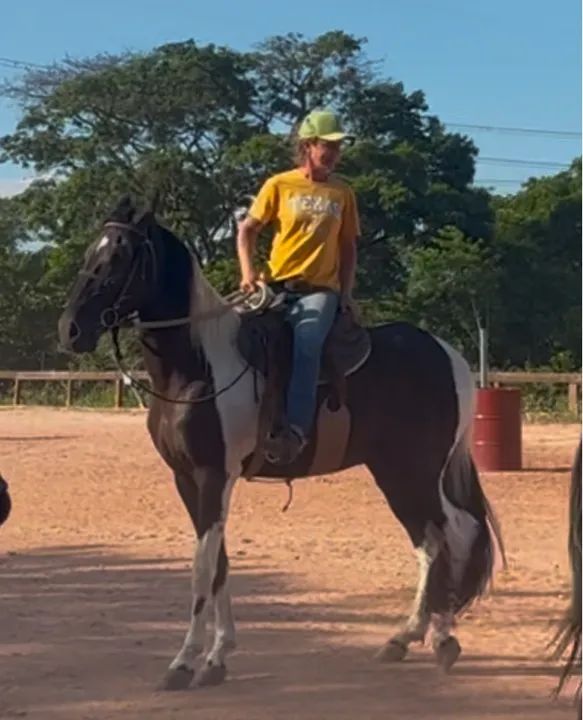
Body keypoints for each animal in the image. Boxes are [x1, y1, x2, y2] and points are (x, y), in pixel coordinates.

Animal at [57, 196, 504, 690]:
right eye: (91, 253)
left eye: (120, 256)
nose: (70, 329)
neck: (198, 365)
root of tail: (447, 354)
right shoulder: (187, 479)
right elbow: (219, 563)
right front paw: (218, 657)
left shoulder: (215, 475)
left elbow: (201, 567)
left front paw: (184, 662)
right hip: (394, 473)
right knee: (430, 543)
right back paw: (402, 639)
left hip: (417, 471)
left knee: (455, 533)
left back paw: (442, 639)